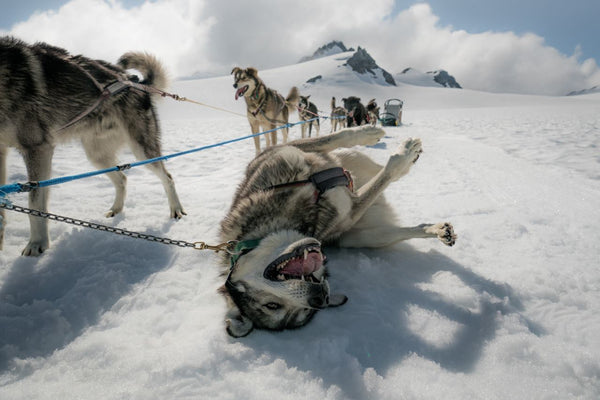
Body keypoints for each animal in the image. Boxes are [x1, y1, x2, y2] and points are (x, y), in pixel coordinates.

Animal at [0, 37, 185, 256]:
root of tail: (138, 84)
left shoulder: (37, 148)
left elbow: (35, 203)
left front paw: (37, 244)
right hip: (97, 155)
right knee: (122, 178)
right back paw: (116, 210)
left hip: (142, 151)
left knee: (168, 177)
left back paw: (176, 210)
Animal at [218, 126, 458, 338]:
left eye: (271, 304)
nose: (320, 299)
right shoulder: (351, 208)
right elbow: (387, 174)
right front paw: (402, 156)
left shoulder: (281, 151)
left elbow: (336, 137)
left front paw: (370, 133)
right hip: (363, 236)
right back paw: (435, 230)